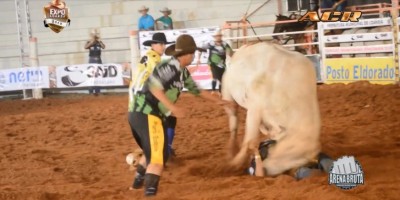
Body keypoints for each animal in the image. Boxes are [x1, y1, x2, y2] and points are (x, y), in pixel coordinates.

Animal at [222, 41, 322, 175]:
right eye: (288, 151)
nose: (264, 172)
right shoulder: (254, 109)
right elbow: (250, 140)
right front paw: (236, 162)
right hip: (227, 94)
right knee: (233, 122)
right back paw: (231, 150)